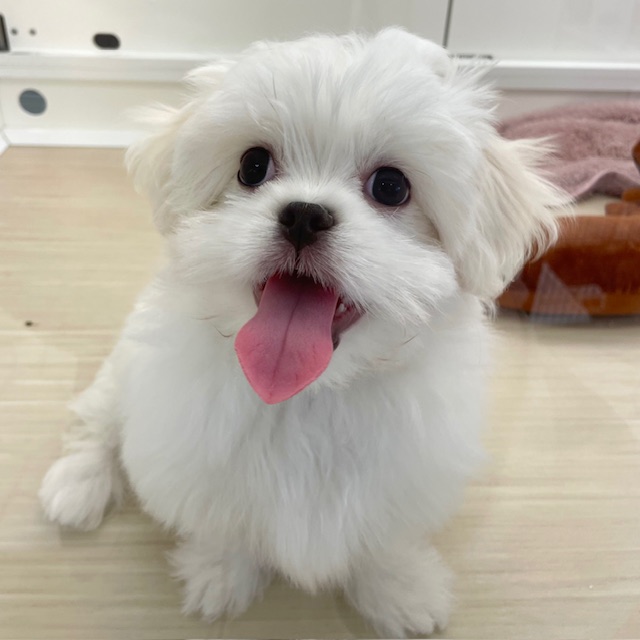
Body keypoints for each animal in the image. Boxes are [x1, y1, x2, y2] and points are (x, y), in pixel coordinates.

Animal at [39, 28, 565, 637]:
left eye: (391, 186)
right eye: (252, 166)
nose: (304, 214)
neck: (306, 392)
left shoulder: (403, 477)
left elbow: (383, 540)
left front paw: (400, 587)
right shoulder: (192, 451)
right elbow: (224, 523)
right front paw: (222, 574)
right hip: (124, 368)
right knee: (99, 419)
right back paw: (77, 484)